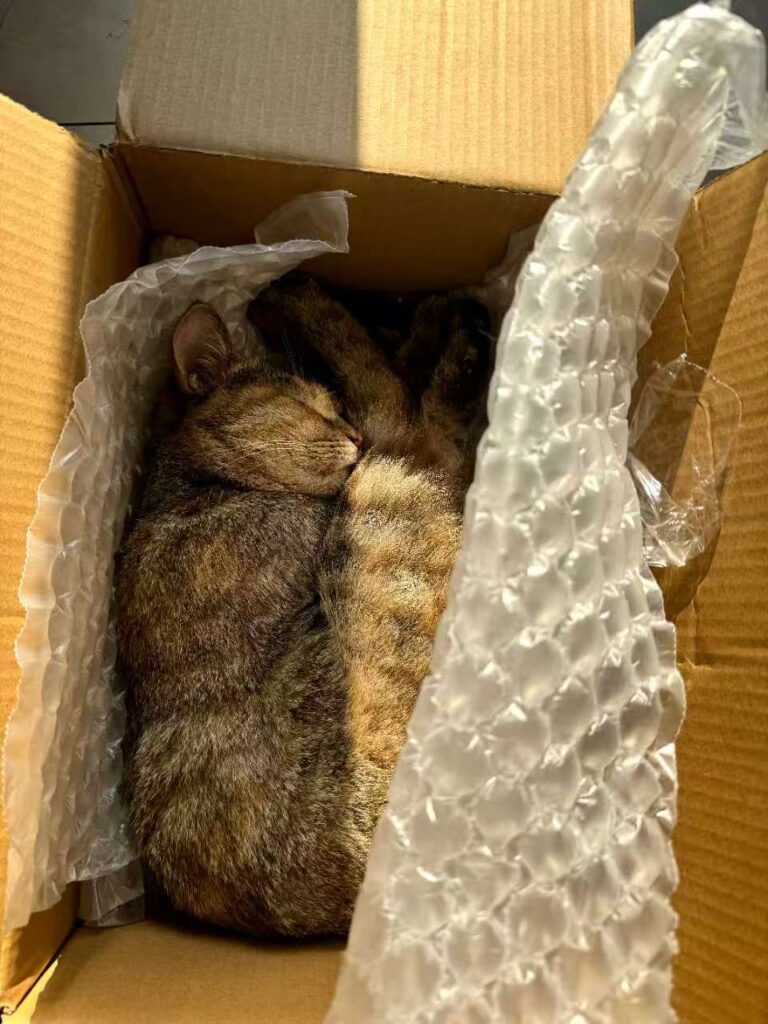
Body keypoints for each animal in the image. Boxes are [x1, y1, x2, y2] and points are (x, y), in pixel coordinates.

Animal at [116, 273, 491, 937]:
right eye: (311, 407)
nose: (350, 434)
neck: (181, 489)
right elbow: (398, 400)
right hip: (377, 502)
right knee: (409, 409)